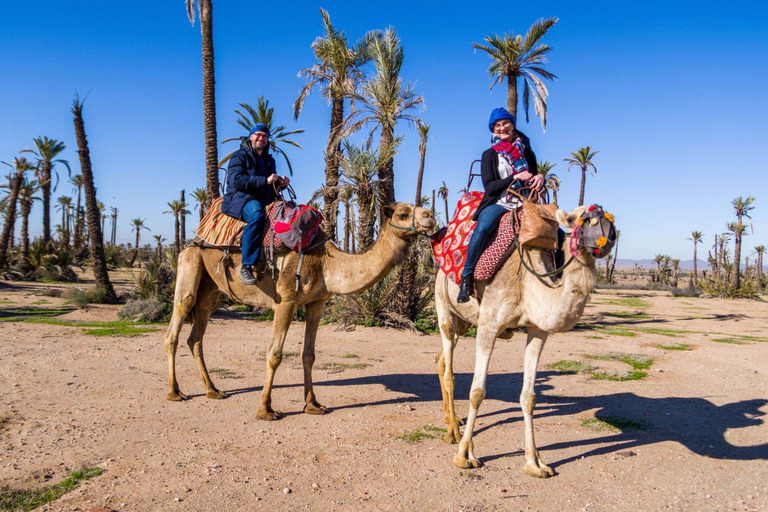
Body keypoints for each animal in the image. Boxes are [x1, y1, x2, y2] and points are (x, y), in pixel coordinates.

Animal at [163, 202, 436, 422]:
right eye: (402, 213)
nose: (430, 216)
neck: (327, 263)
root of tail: (194, 240)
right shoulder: (286, 301)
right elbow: (274, 354)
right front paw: (266, 410)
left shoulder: (317, 302)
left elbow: (309, 355)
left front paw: (313, 404)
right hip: (190, 265)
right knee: (175, 326)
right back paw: (175, 392)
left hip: (211, 291)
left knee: (195, 336)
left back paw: (213, 390)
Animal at [436, 206, 616, 478]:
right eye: (578, 219)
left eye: (609, 217)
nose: (610, 236)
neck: (527, 282)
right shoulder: (489, 326)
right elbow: (477, 392)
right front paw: (465, 455)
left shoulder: (537, 330)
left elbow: (529, 397)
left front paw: (535, 463)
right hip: (444, 305)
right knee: (449, 369)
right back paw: (453, 434)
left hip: (464, 321)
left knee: (441, 360)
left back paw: (452, 419)